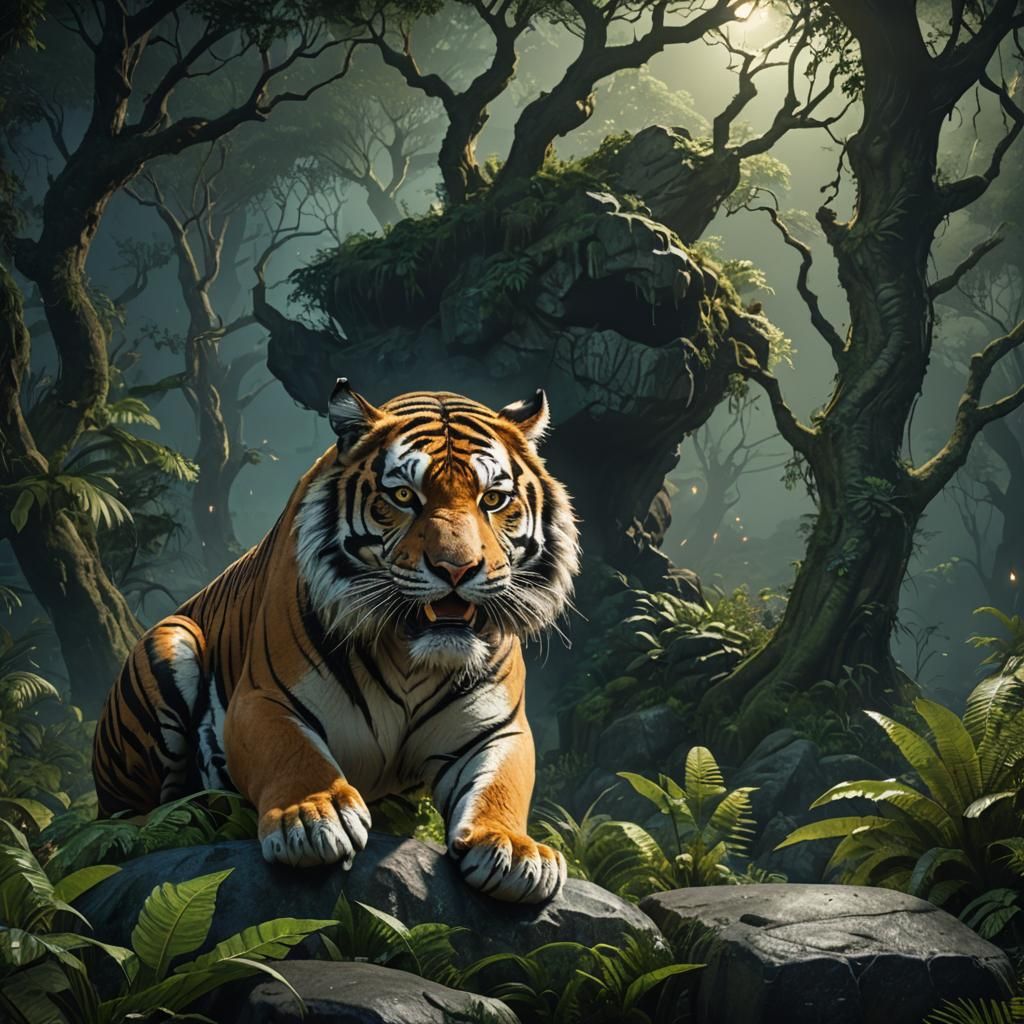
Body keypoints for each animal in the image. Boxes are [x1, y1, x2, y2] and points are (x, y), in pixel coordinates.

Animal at [92, 382, 580, 903]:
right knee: (122, 820)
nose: (457, 568)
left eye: (493, 499)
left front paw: (514, 850)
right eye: (404, 495)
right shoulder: (262, 700)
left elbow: (501, 786)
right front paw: (311, 818)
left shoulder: (498, 729)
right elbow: (293, 753)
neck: (412, 656)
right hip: (171, 642)